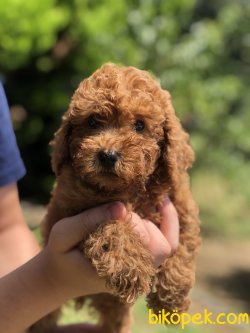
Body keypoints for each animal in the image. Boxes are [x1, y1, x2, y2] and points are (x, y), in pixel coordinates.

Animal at [29, 63, 201, 332]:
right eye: (92, 121)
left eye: (140, 125)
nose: (107, 155)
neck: (130, 187)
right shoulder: (71, 209)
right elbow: (112, 225)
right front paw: (128, 265)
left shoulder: (180, 204)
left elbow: (184, 243)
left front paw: (173, 297)